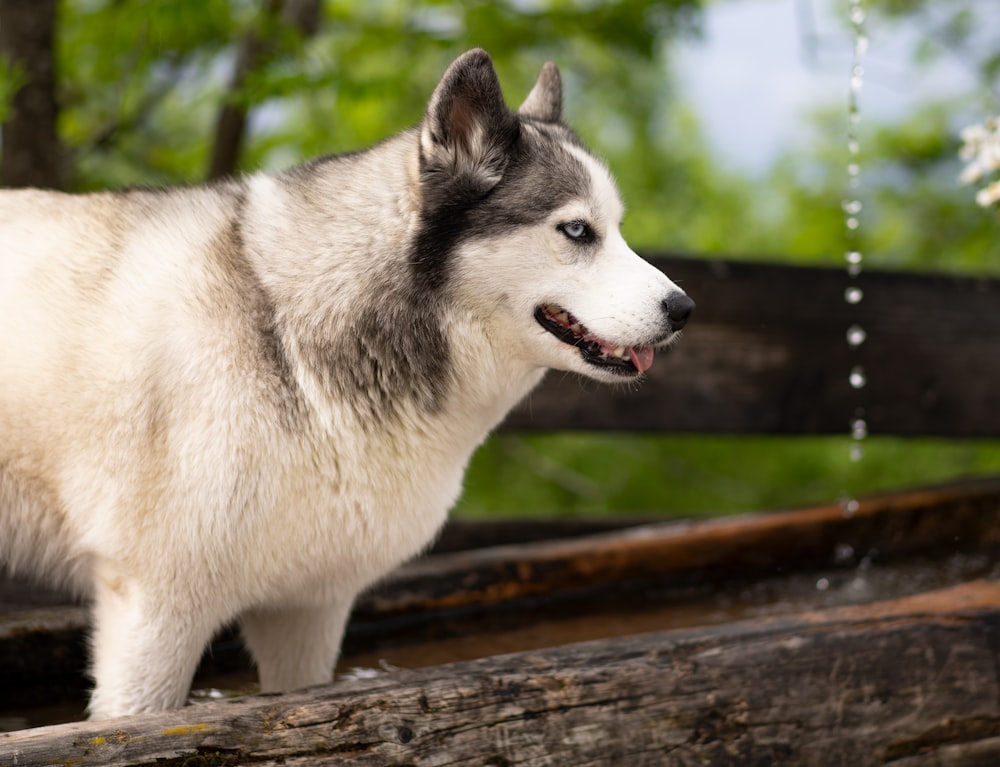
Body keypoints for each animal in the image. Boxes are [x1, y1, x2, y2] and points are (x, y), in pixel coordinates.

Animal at [0, 49, 692, 720]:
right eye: (576, 231)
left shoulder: (308, 611)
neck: (286, 331)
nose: (684, 309)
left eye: (618, 229)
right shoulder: (155, 611)